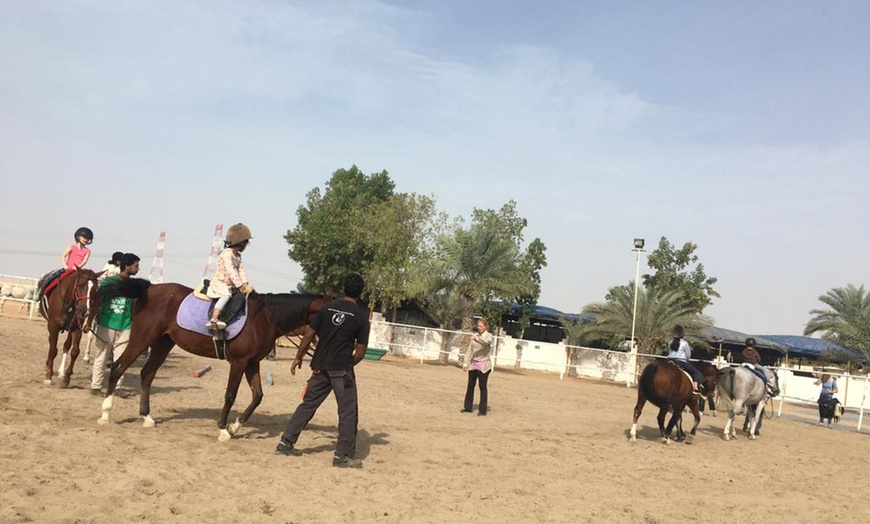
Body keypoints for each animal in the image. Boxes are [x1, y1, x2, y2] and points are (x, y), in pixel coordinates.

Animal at [96, 280, 328, 440]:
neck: (264, 317)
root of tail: (150, 288)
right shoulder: (239, 362)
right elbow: (230, 395)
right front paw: (224, 429)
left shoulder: (252, 363)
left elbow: (258, 396)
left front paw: (235, 426)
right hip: (142, 339)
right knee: (118, 368)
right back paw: (105, 414)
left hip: (163, 343)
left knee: (147, 374)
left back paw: (146, 417)